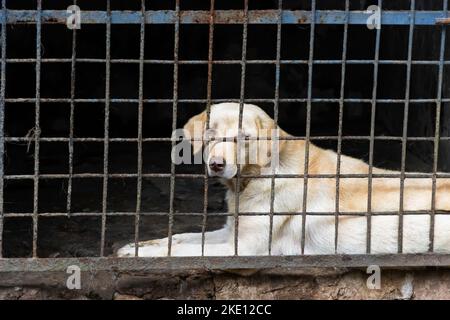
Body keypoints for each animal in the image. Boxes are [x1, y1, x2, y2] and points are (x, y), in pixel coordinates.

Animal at [118, 103, 450, 258]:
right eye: (211, 133)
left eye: (244, 138)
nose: (216, 165)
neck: (255, 179)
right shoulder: (230, 232)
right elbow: (179, 238)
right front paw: (136, 245)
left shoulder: (243, 248)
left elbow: (181, 251)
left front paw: (140, 254)